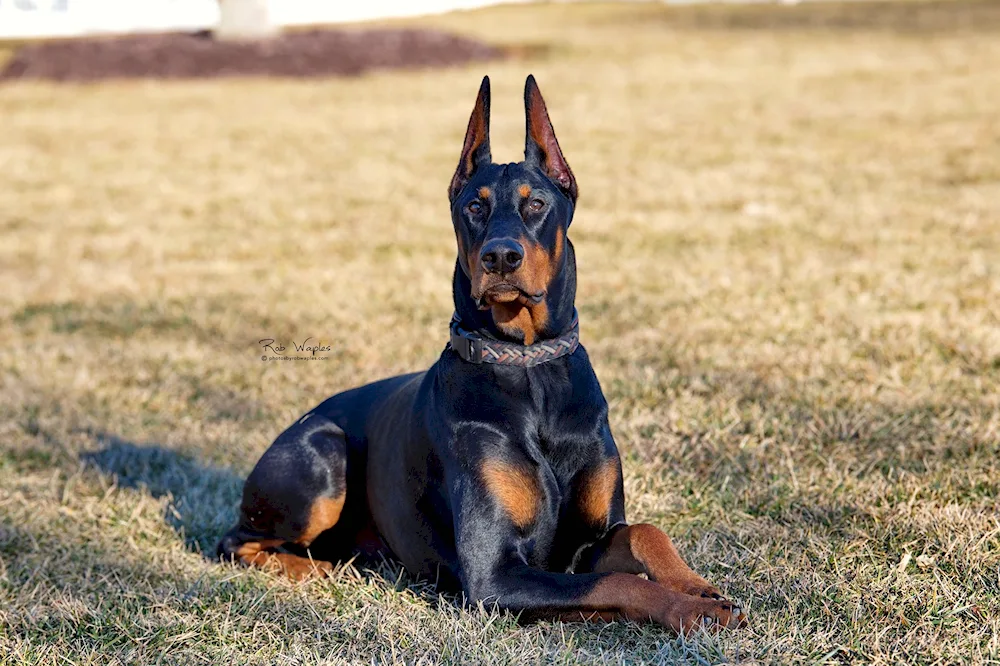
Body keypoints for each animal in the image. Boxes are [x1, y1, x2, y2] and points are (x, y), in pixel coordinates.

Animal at [221, 75, 752, 632]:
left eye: (535, 203)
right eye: (474, 206)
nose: (501, 257)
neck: (530, 369)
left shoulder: (587, 541)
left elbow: (644, 531)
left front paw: (700, 588)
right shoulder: (494, 575)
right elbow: (617, 583)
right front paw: (695, 610)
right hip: (325, 452)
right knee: (235, 542)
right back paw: (311, 569)